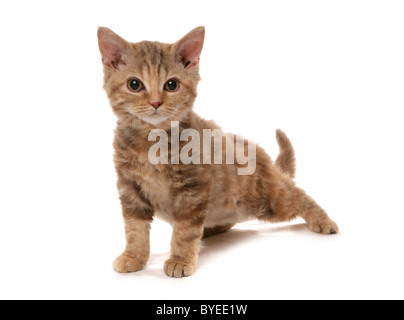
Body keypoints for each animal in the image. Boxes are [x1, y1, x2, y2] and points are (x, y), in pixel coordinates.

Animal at [97, 26, 338, 278]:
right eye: (134, 84)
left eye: (171, 85)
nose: (155, 102)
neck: (151, 142)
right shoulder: (129, 187)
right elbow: (135, 228)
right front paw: (134, 256)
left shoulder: (193, 189)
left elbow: (185, 230)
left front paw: (180, 259)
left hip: (268, 199)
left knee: (297, 195)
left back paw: (323, 220)